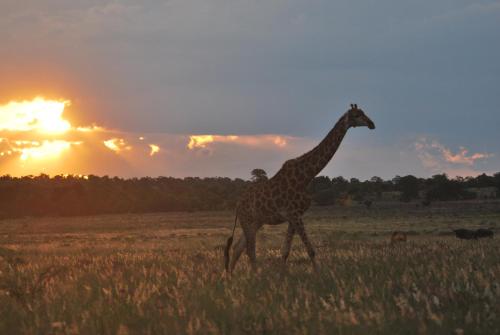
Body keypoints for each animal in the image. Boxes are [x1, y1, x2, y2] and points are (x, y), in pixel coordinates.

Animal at [224, 104, 376, 272]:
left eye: (363, 112)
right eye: (357, 115)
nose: (371, 124)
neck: (306, 177)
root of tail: (237, 205)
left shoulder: (293, 216)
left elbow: (285, 251)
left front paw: (283, 274)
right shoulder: (294, 214)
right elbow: (310, 250)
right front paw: (318, 273)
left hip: (256, 222)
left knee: (238, 247)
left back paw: (232, 276)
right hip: (248, 220)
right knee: (249, 249)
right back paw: (253, 275)